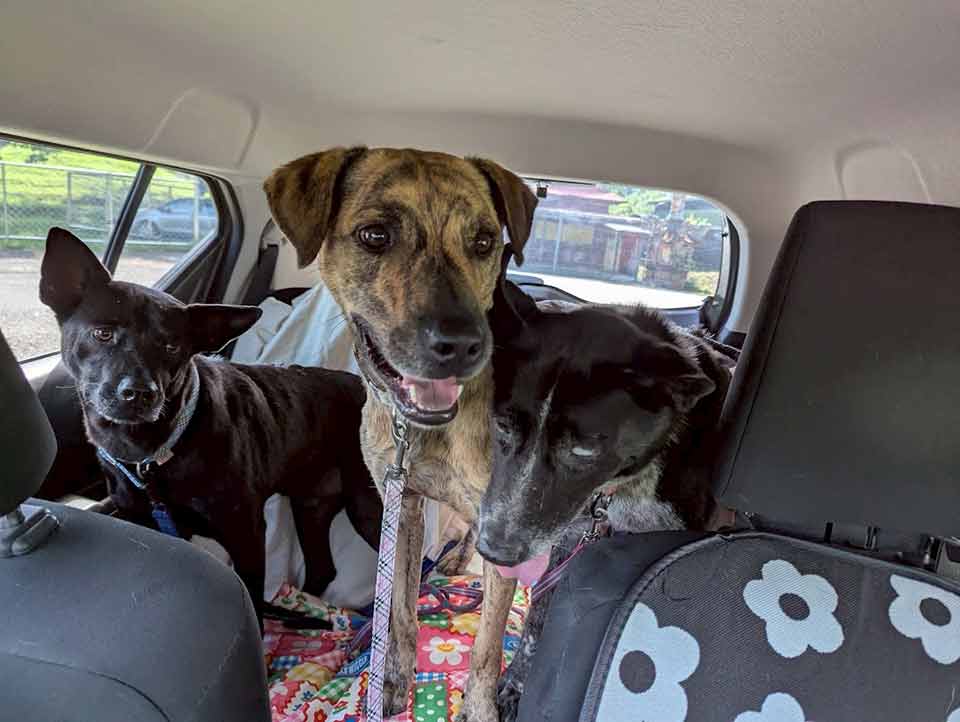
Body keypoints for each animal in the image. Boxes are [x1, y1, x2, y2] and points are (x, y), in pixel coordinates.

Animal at [39, 227, 383, 621]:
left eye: (172, 346)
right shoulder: (140, 520)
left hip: (368, 508)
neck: (155, 450)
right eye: (102, 334)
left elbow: (252, 601)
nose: (139, 393)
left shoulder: (246, 532)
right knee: (323, 569)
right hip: (311, 504)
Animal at [264, 147, 537, 722]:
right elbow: (402, 609)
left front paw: (481, 708)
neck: (425, 430)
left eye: (484, 242)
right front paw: (391, 684)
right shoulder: (405, 504)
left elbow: (485, 648)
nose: (462, 346)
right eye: (374, 235)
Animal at [479, 271, 737, 720]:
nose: (493, 551)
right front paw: (515, 685)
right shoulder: (566, 540)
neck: (618, 491)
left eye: (584, 450)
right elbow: (538, 618)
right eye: (503, 426)